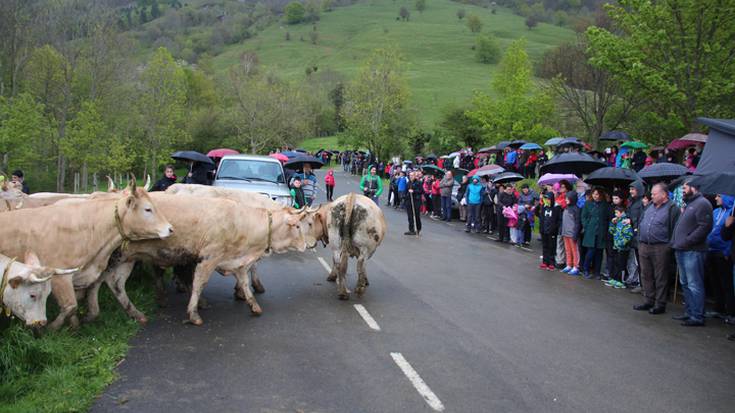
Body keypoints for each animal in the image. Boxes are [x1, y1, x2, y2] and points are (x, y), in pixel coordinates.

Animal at [0, 180, 172, 328]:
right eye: (148, 209)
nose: (170, 229)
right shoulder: (59, 277)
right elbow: (70, 306)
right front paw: (53, 328)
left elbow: (77, 302)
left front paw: (75, 326)